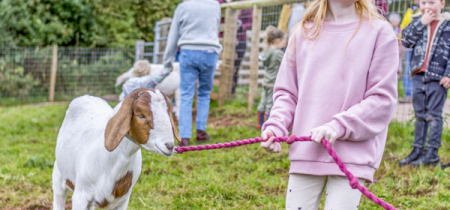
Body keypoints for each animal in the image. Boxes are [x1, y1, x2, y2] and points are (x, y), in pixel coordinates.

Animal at [51, 88, 181, 209]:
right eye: (141, 115)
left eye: (168, 114)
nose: (169, 146)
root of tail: (85, 96)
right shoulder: (80, 196)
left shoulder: (122, 200)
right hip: (58, 177)